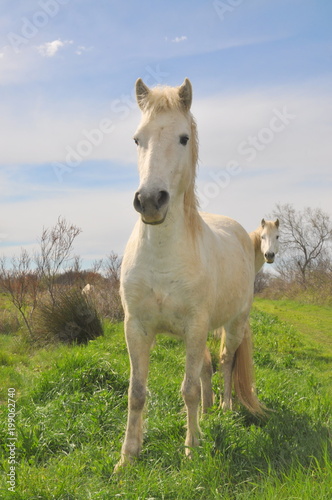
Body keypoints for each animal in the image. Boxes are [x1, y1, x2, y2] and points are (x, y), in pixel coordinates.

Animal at [116, 77, 264, 468]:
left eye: (183, 138)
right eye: (137, 139)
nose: (150, 201)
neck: (163, 258)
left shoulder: (195, 326)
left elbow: (188, 389)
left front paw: (192, 446)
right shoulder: (137, 328)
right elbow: (137, 392)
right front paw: (128, 457)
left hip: (235, 323)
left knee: (226, 361)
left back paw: (226, 406)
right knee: (206, 369)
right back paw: (211, 410)